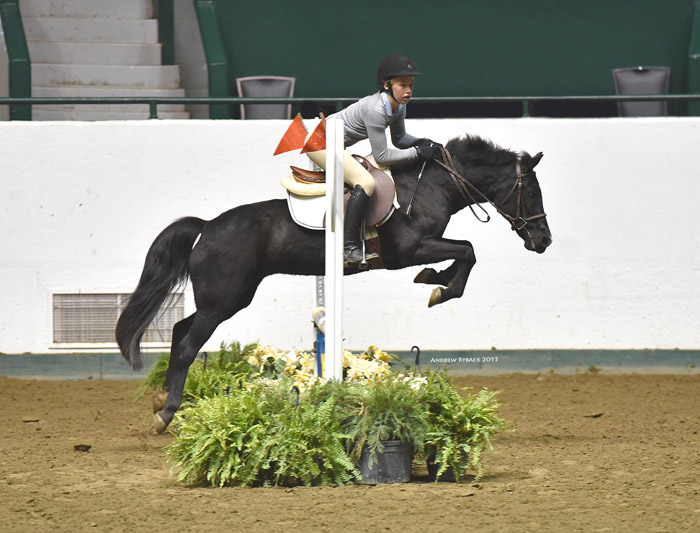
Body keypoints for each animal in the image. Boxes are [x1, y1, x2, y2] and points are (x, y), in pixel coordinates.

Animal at [115, 134, 552, 432]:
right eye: (531, 191)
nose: (543, 241)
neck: (431, 186)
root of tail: (206, 227)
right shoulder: (409, 250)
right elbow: (467, 250)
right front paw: (439, 286)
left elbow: (465, 251)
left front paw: (436, 280)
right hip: (224, 300)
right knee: (189, 344)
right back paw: (166, 414)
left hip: (223, 300)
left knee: (179, 331)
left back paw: (162, 400)